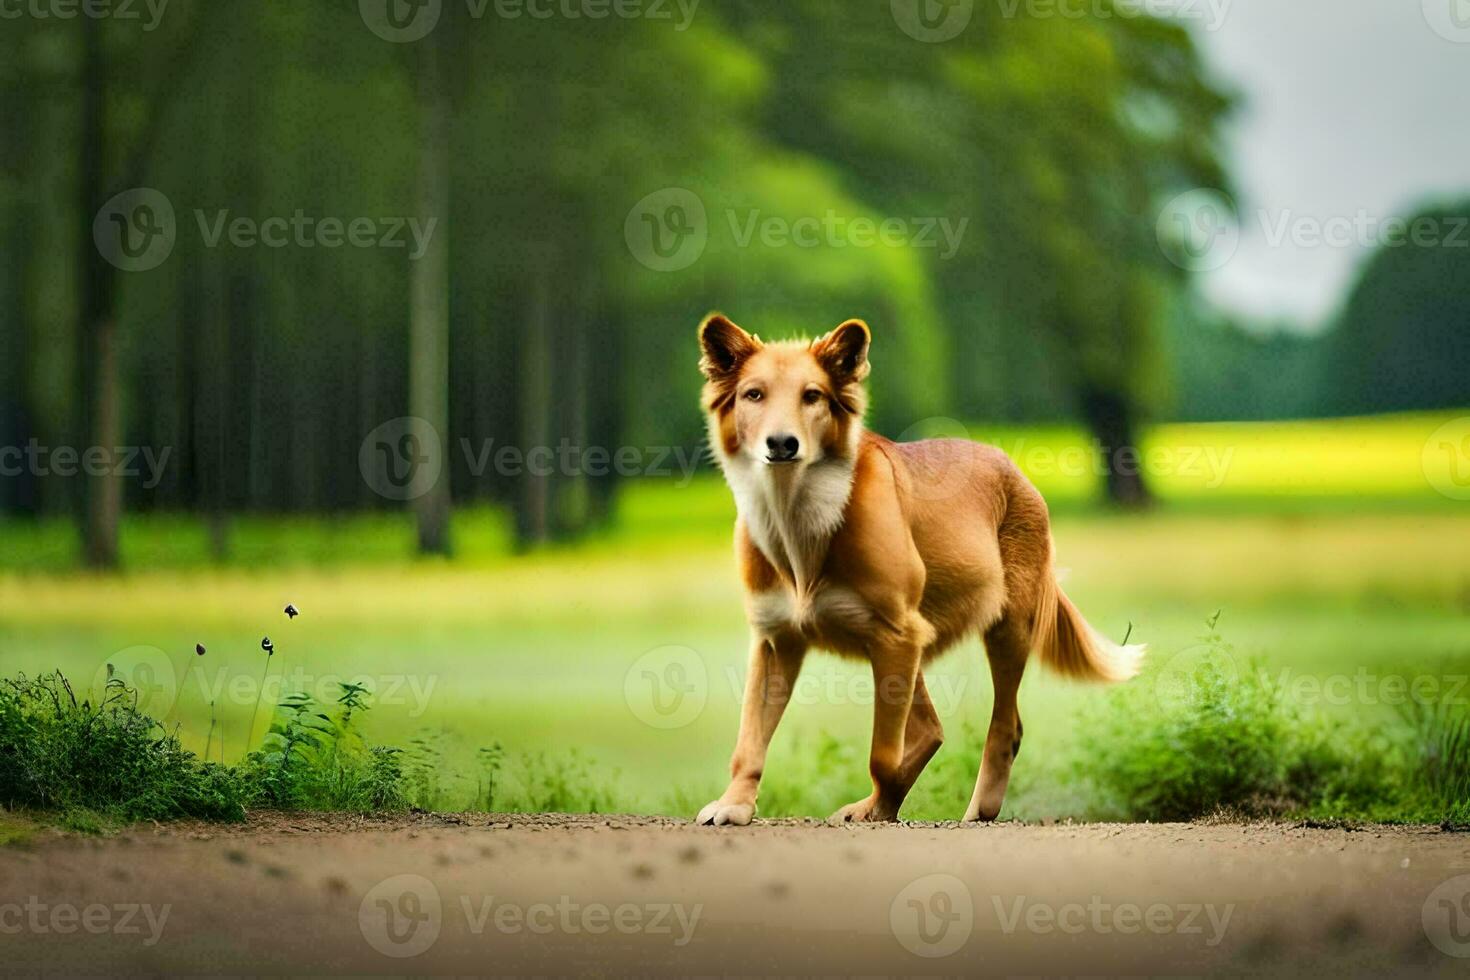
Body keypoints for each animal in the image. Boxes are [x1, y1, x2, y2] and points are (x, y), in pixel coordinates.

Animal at [693, 318, 1140, 822]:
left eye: (812, 396)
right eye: (754, 394)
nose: (782, 444)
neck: (800, 515)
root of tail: (1011, 465)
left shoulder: (897, 635)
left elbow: (882, 756)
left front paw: (877, 803)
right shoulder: (778, 638)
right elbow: (749, 742)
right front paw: (735, 805)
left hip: (1003, 627)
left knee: (1003, 726)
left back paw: (975, 808)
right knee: (934, 728)